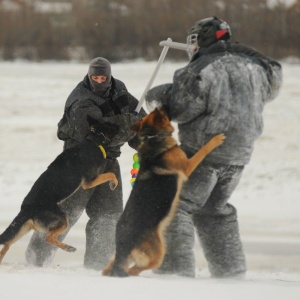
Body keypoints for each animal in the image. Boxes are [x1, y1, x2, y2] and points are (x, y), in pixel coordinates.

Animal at [0, 116, 119, 264]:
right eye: (111, 124)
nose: (121, 125)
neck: (94, 140)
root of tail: (26, 208)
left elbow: (110, 174)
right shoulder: (89, 181)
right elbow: (111, 174)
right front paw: (114, 183)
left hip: (23, 228)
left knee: (7, 244)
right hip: (63, 219)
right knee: (48, 238)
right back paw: (68, 247)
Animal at [102, 106, 224, 276]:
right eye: (161, 112)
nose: (164, 105)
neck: (153, 136)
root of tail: (123, 244)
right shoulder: (187, 167)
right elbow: (203, 150)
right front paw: (216, 140)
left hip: (117, 258)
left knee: (108, 269)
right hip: (158, 253)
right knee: (135, 270)